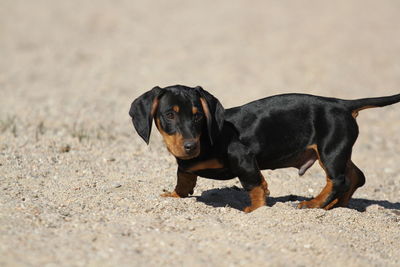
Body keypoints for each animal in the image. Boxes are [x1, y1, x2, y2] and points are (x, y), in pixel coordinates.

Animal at [130, 86, 398, 214]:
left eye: (197, 117)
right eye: (169, 115)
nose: (189, 146)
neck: (206, 138)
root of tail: (342, 104)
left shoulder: (243, 158)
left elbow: (255, 185)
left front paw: (256, 210)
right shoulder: (185, 166)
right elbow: (183, 179)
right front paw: (175, 196)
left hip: (330, 150)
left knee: (338, 180)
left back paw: (313, 204)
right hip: (339, 150)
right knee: (356, 176)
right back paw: (335, 206)